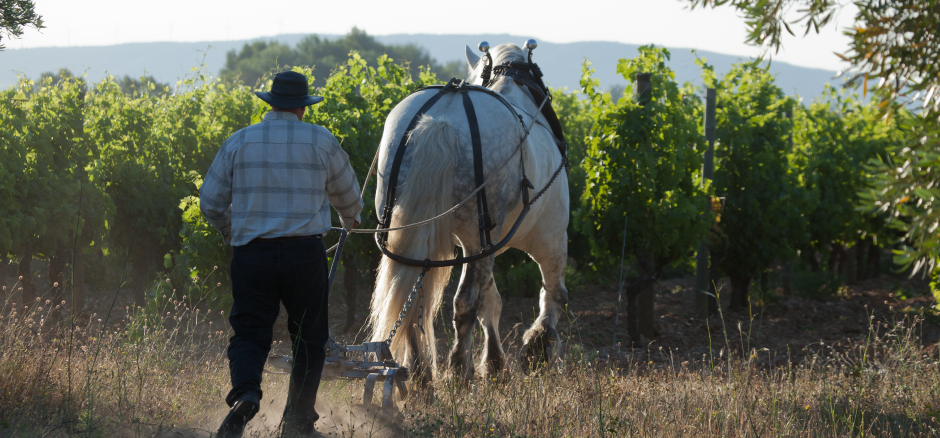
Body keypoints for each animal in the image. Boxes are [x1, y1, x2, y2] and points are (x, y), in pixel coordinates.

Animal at [370, 42, 568, 384]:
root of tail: (440, 122)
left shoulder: (483, 245)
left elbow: (492, 300)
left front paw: (496, 362)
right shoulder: (550, 238)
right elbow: (551, 292)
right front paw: (537, 348)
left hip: (413, 234)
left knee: (414, 297)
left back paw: (422, 374)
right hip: (483, 238)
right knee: (465, 303)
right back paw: (458, 371)